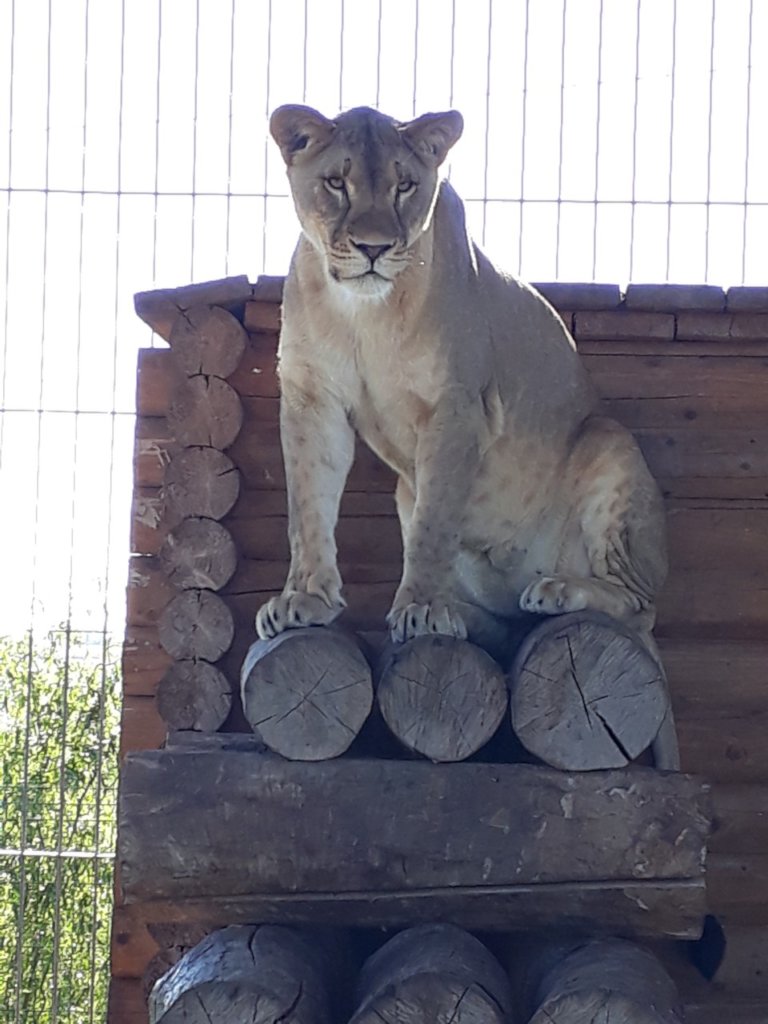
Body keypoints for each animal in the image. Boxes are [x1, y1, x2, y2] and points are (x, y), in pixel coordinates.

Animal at [256, 104, 678, 768]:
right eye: (336, 183)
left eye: (405, 185)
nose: (374, 248)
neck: (364, 310)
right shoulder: (311, 399)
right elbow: (307, 509)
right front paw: (305, 601)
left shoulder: (456, 409)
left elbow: (434, 525)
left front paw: (423, 611)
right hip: (406, 492)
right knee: (503, 623)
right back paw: (470, 616)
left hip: (609, 441)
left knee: (640, 606)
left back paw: (554, 590)